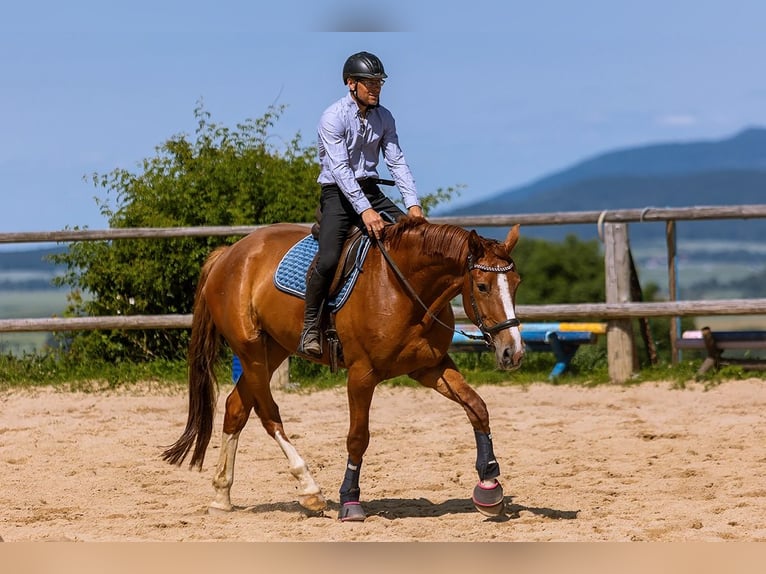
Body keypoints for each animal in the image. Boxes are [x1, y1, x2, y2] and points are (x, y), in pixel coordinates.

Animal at [162, 217, 524, 521]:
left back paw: (221, 495)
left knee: (236, 406)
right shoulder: (362, 375)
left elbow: (477, 407)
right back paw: (309, 490)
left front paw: (489, 487)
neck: (402, 289)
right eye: (482, 286)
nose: (513, 351)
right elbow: (357, 438)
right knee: (268, 414)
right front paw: (350, 501)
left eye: (516, 283)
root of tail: (228, 255)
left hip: (272, 349)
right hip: (250, 351)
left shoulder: (430, 367)